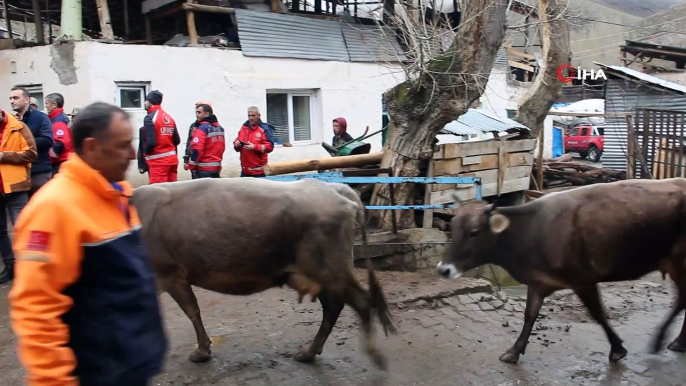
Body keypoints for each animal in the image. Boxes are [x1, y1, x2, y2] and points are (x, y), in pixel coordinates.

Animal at [133, 176, 398, 370]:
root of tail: (335, 188)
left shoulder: (169, 274)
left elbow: (191, 310)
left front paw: (201, 351)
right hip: (320, 273)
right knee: (335, 306)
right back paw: (309, 353)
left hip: (330, 269)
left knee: (359, 302)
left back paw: (372, 355)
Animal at [438, 179, 684, 364]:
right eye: (453, 227)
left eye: (474, 232)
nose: (443, 269)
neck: (530, 230)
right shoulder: (539, 282)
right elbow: (530, 315)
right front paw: (514, 351)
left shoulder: (582, 280)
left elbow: (598, 313)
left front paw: (617, 349)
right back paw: (677, 341)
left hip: (680, 263)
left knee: (682, 300)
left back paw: (663, 340)